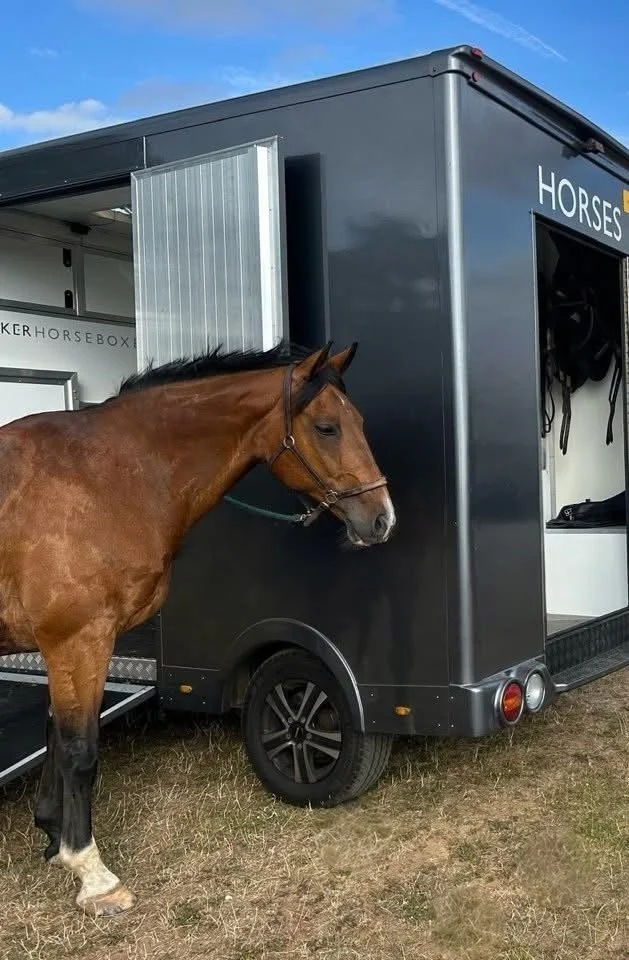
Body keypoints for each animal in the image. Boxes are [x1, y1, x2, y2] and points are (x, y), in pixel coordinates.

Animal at [0, 340, 395, 917]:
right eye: (327, 427)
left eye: (359, 421)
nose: (381, 518)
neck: (99, 478)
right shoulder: (77, 641)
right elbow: (79, 749)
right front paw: (92, 874)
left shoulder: (65, 649)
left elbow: (56, 733)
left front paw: (53, 835)